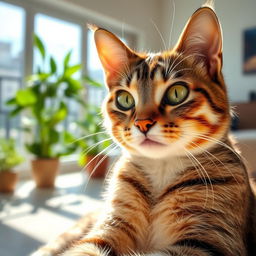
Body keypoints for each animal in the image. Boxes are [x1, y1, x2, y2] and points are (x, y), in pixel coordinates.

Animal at [33, 2, 255, 256]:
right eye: (125, 99)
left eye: (177, 93)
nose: (142, 123)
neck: (161, 170)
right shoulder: (109, 227)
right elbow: (85, 248)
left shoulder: (210, 240)